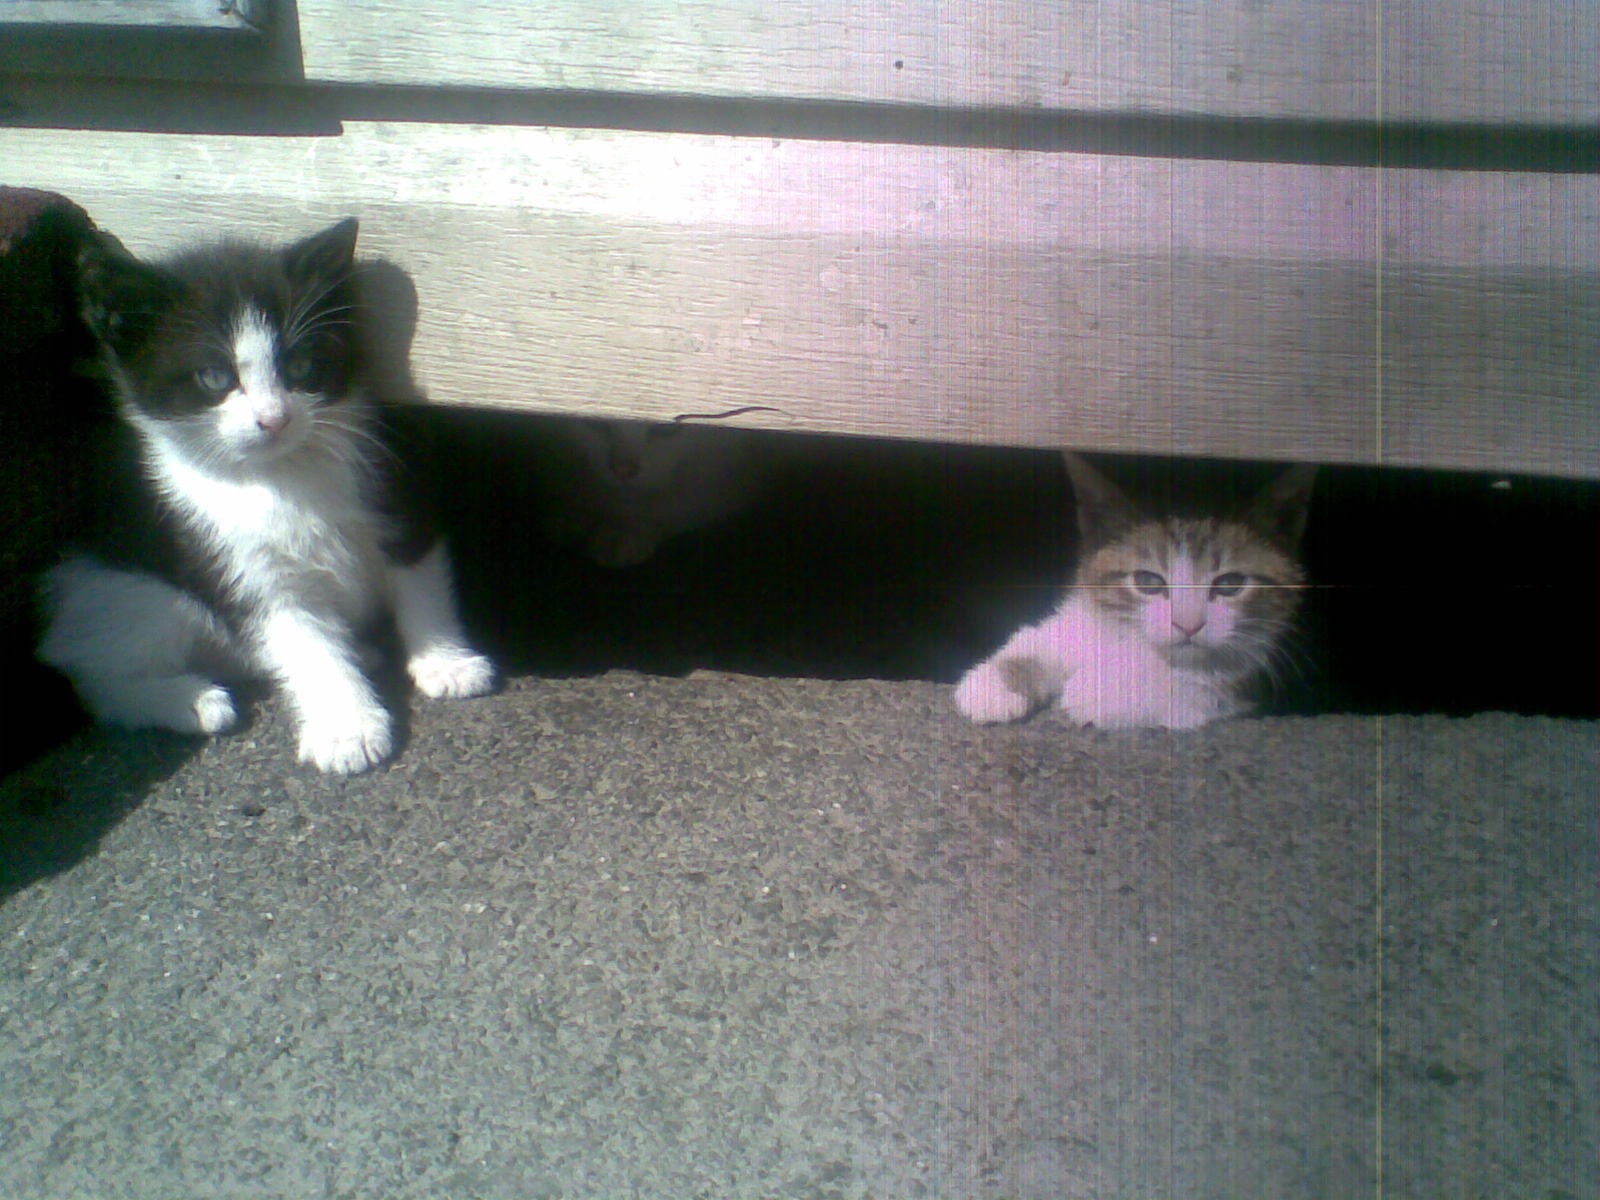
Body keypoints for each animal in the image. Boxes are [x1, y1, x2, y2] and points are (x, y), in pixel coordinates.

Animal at [38, 218, 494, 774]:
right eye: (214, 376)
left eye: (300, 367)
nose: (274, 419)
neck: (284, 472)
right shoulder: (238, 564)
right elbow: (302, 641)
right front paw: (347, 726)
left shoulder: (397, 490)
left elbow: (421, 580)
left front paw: (446, 661)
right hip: (133, 594)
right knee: (98, 681)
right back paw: (191, 700)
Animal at [539, 417, 762, 567]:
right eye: (594, 420)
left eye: (666, 427)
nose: (623, 469)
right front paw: (574, 511)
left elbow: (674, 506)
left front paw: (625, 532)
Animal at [955, 452, 1315, 730]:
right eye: (1148, 581)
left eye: (1229, 584)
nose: (1188, 624)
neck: (1133, 644)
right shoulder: (1078, 620)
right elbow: (1034, 642)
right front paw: (990, 688)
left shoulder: (1243, 683)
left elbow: (1193, 689)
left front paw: (1096, 693)